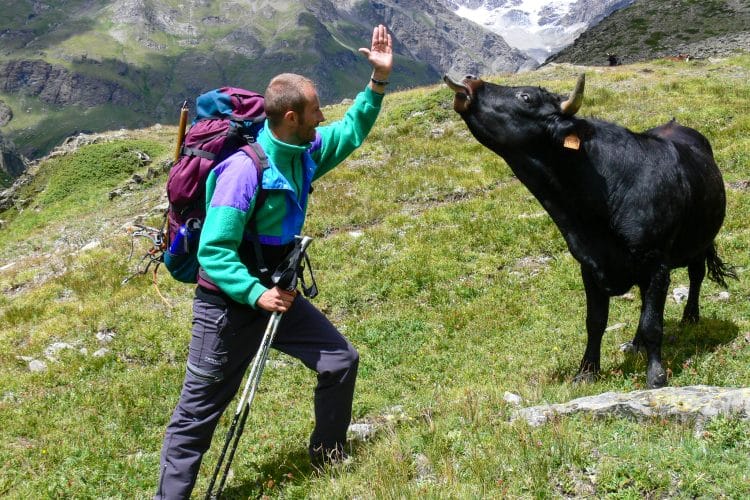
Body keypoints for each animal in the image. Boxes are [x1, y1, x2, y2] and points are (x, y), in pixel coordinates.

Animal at [444, 74, 736, 388]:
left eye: (526, 97)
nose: (470, 80)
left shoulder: (656, 262)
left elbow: (653, 323)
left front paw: (656, 376)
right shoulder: (589, 263)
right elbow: (595, 321)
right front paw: (586, 372)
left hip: (702, 239)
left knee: (695, 274)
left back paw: (690, 317)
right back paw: (635, 344)